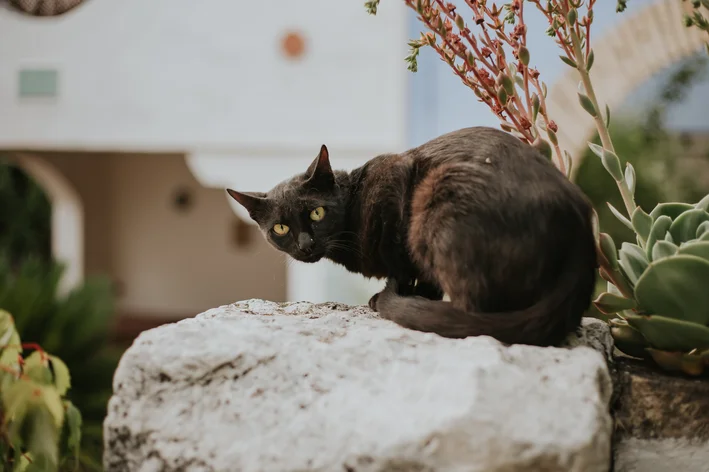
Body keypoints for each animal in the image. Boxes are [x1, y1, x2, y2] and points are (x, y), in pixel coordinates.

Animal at [228, 125, 596, 346]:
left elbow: (401, 260)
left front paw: (400, 295)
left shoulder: (396, 187)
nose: (305, 244)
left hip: (437, 198)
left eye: (317, 213)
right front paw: (419, 293)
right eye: (280, 228)